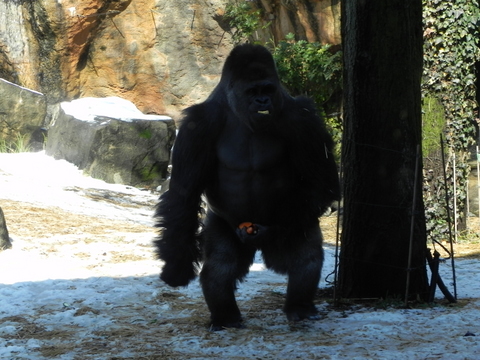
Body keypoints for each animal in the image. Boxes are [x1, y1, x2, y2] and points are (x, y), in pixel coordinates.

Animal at [153, 43, 338, 330]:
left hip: (298, 220)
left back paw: (300, 307)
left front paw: (271, 230)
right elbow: (184, 193)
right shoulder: (199, 125)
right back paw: (226, 316)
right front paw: (176, 267)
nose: (262, 102)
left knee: (305, 254)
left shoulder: (303, 119)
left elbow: (322, 181)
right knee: (220, 267)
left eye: (268, 90)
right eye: (253, 92)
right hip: (223, 225)